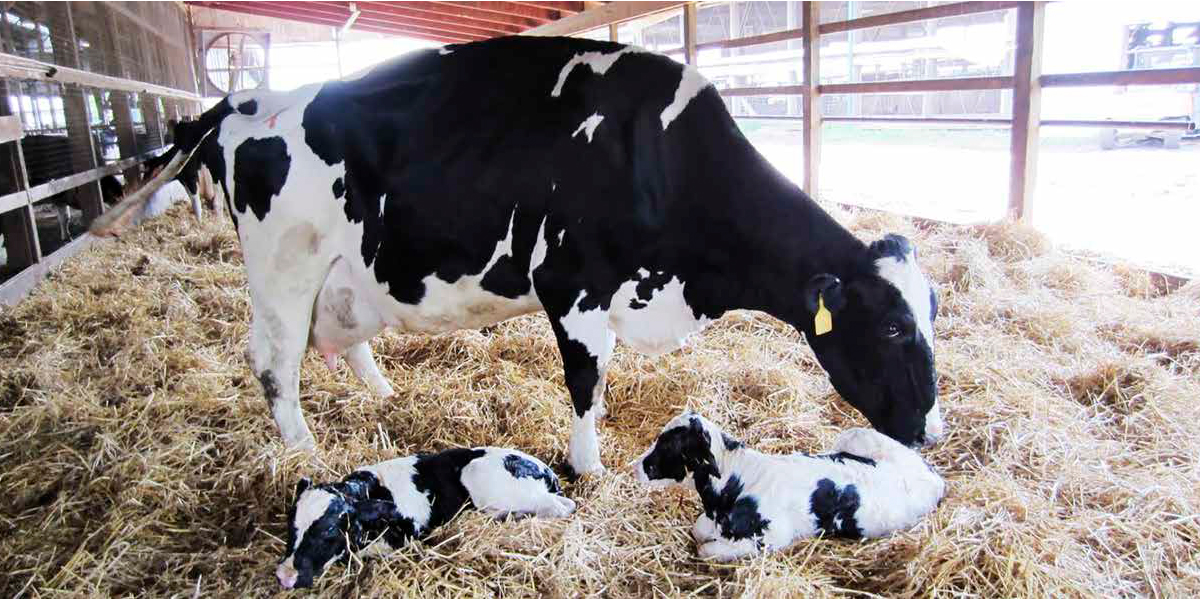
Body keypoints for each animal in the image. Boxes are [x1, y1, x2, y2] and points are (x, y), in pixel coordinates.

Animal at [91, 36, 943, 476]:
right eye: (893, 328)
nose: (931, 431)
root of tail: (243, 101)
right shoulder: (574, 287)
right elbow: (587, 385)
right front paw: (590, 467)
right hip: (283, 270)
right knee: (273, 360)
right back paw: (305, 454)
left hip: (343, 273)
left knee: (340, 341)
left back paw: (386, 398)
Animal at [277, 447, 575, 589]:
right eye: (291, 526)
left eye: (329, 531)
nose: (284, 576)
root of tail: (545, 469)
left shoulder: (409, 535)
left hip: (483, 478)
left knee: (563, 507)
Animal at [634, 411, 945, 560]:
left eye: (669, 444)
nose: (637, 466)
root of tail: (934, 477)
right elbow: (698, 530)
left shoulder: (773, 537)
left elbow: (706, 550)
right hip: (855, 436)